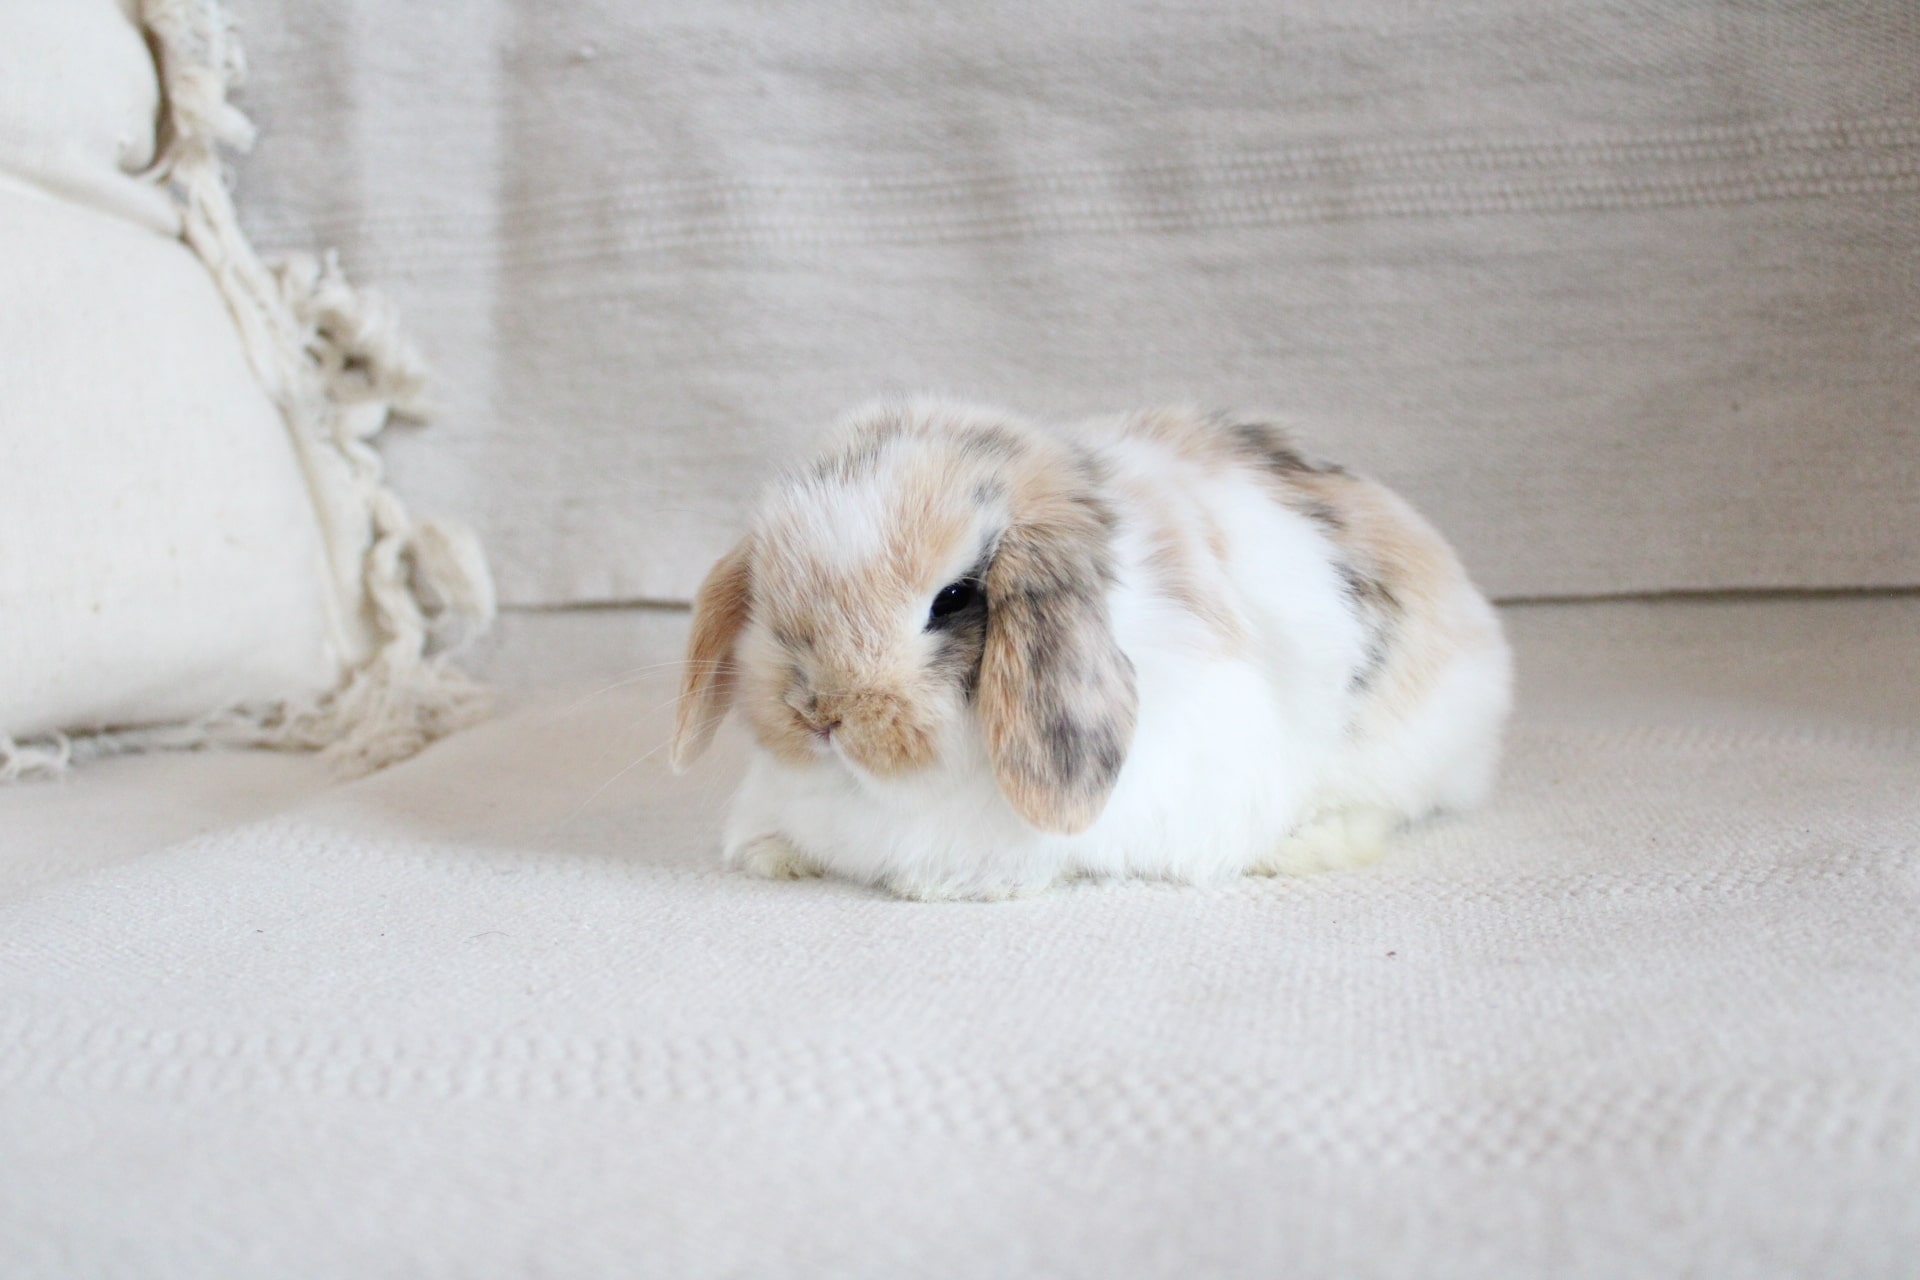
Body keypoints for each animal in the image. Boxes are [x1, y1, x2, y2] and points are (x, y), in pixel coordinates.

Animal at [670, 399, 1511, 901]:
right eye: (770, 586)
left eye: (953, 599)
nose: (819, 714)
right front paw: (778, 857)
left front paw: (927, 884)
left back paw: (1299, 850)